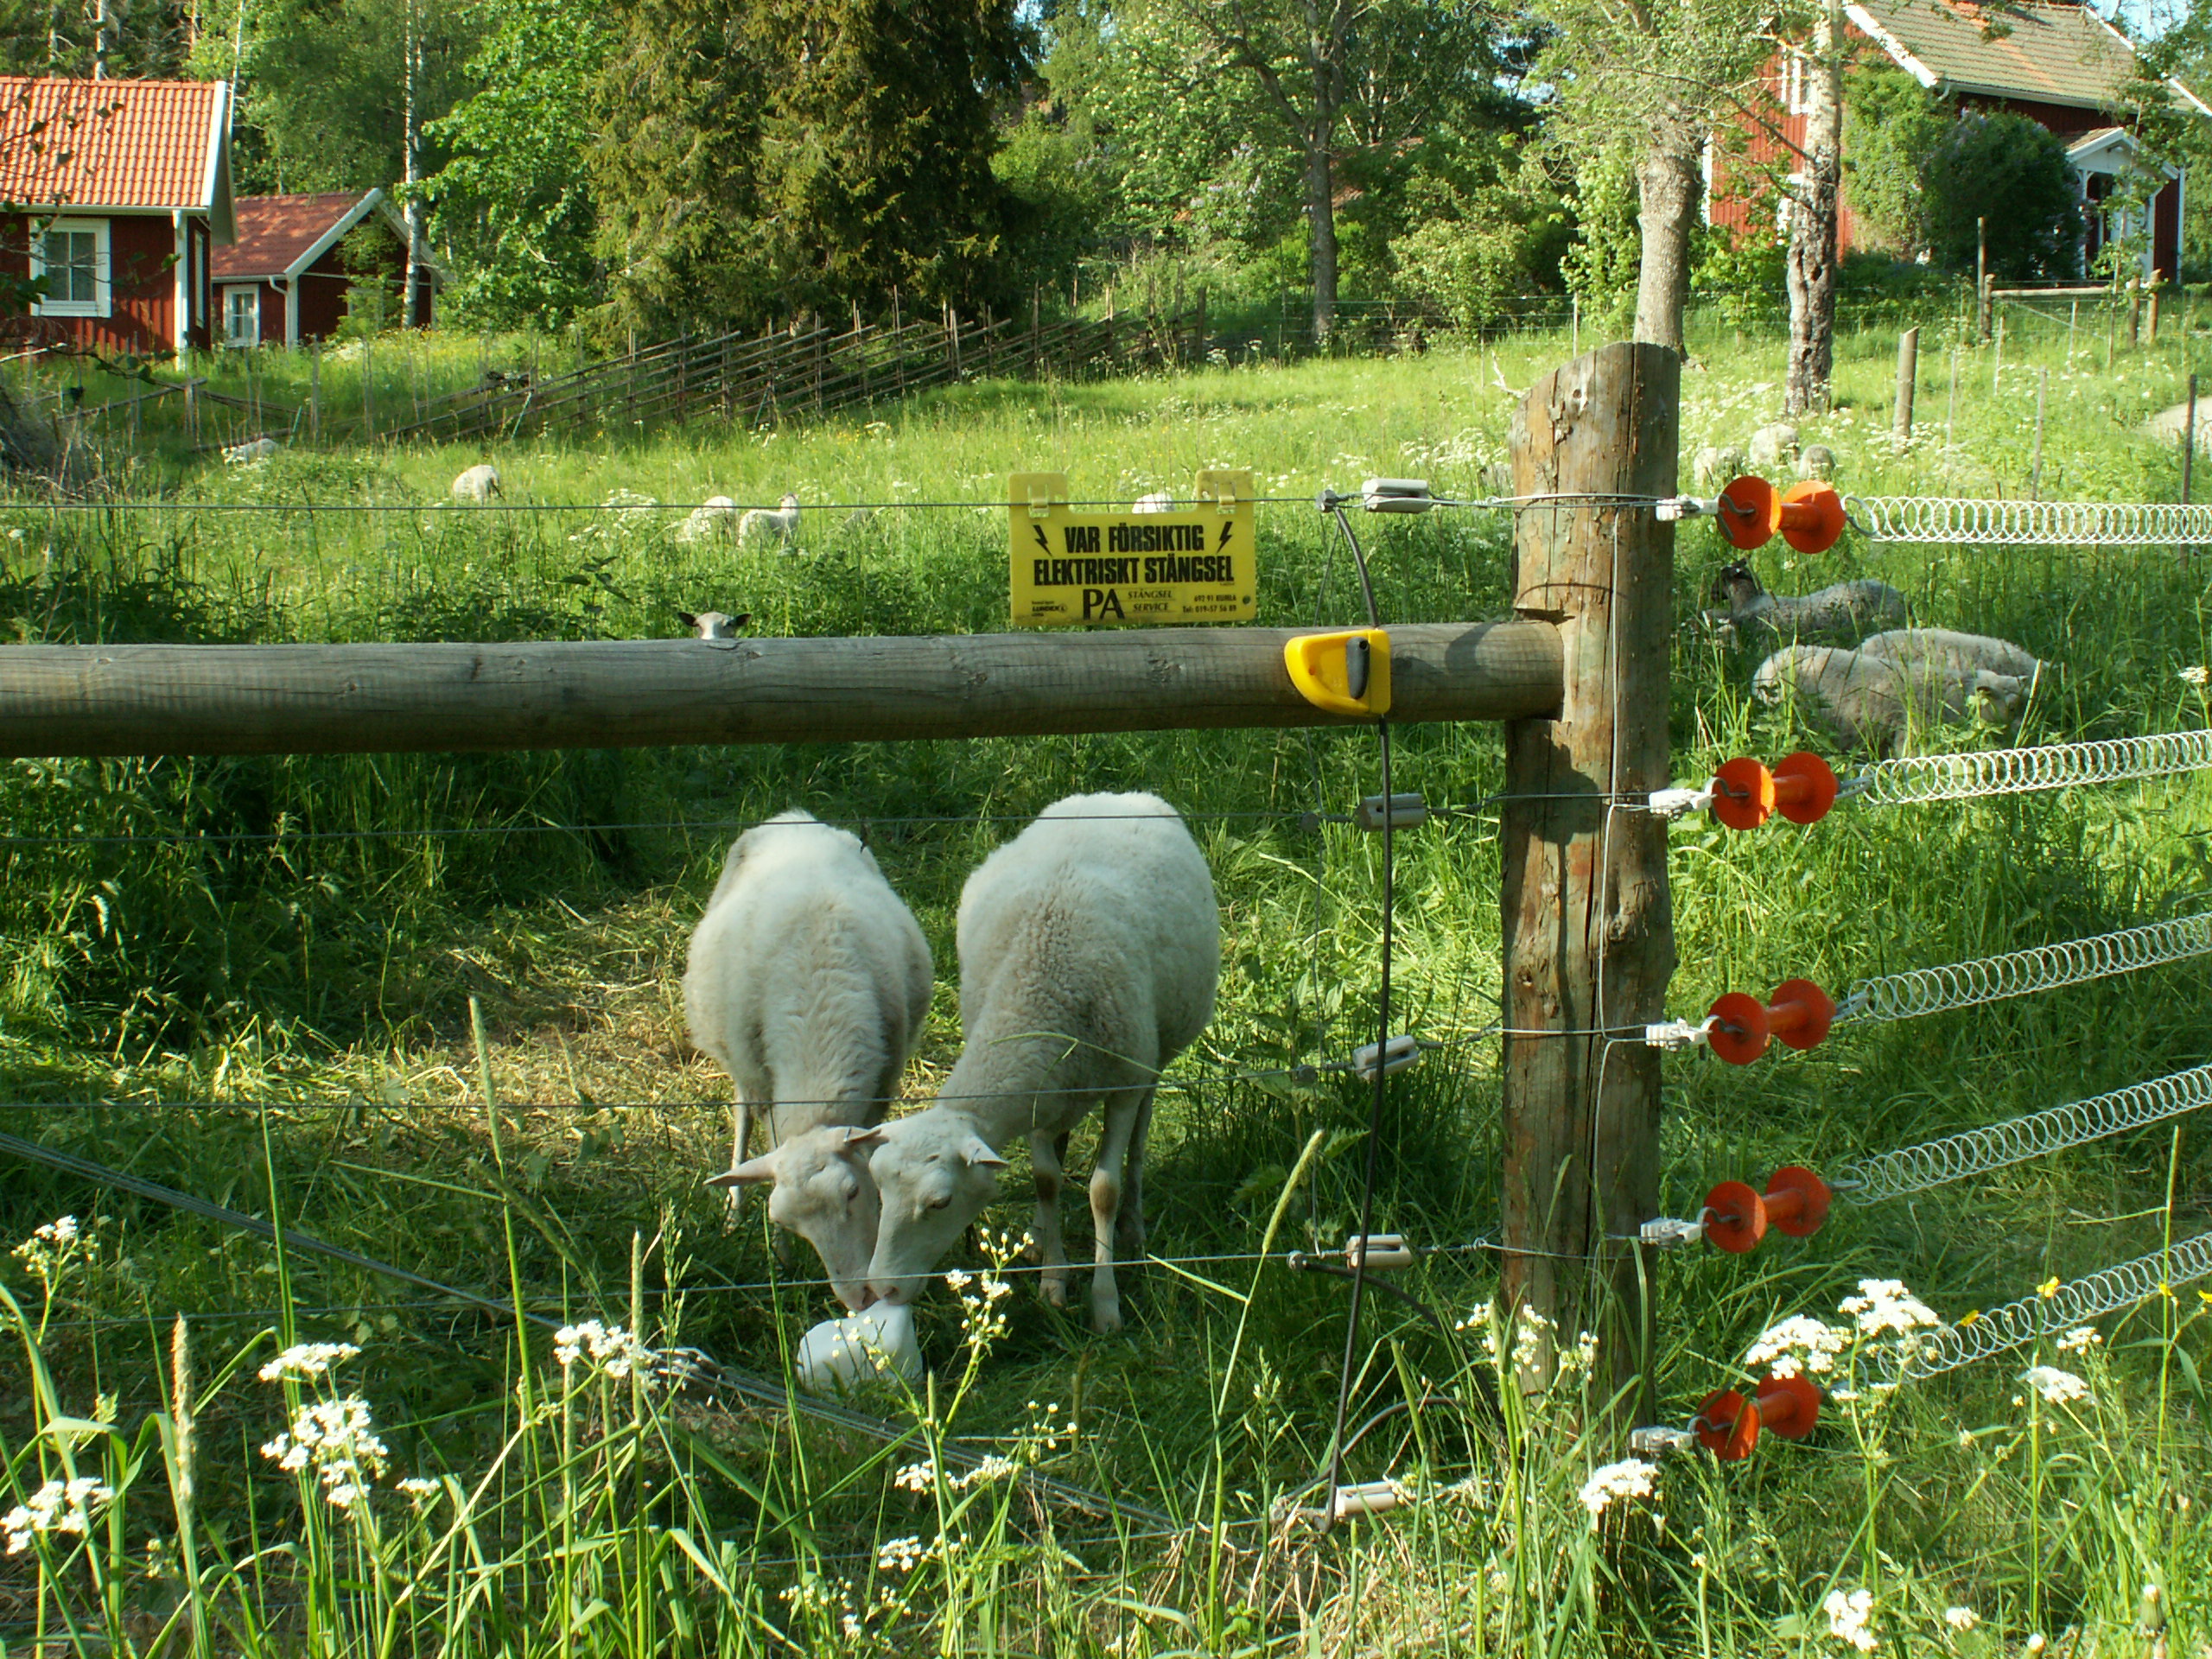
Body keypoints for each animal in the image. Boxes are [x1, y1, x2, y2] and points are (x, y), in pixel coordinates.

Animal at [690, 809, 933, 1309]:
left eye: (853, 1192)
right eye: (783, 1220)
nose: (858, 1299)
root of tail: (792, 817)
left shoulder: (884, 1083)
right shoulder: (765, 1080)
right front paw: (779, 1259)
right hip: (741, 1063)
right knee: (742, 1115)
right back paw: (733, 1211)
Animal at [849, 796, 1230, 1336]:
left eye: (941, 1202)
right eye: (878, 1190)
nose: (883, 1289)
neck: (1037, 988)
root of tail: (1117, 795)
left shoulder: (1124, 1081)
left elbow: (1104, 1190)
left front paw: (1105, 1302)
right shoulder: (1037, 1094)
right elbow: (1045, 1179)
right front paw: (1053, 1281)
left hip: (1154, 1055)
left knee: (1140, 1135)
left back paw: (1132, 1225)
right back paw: (1038, 1233)